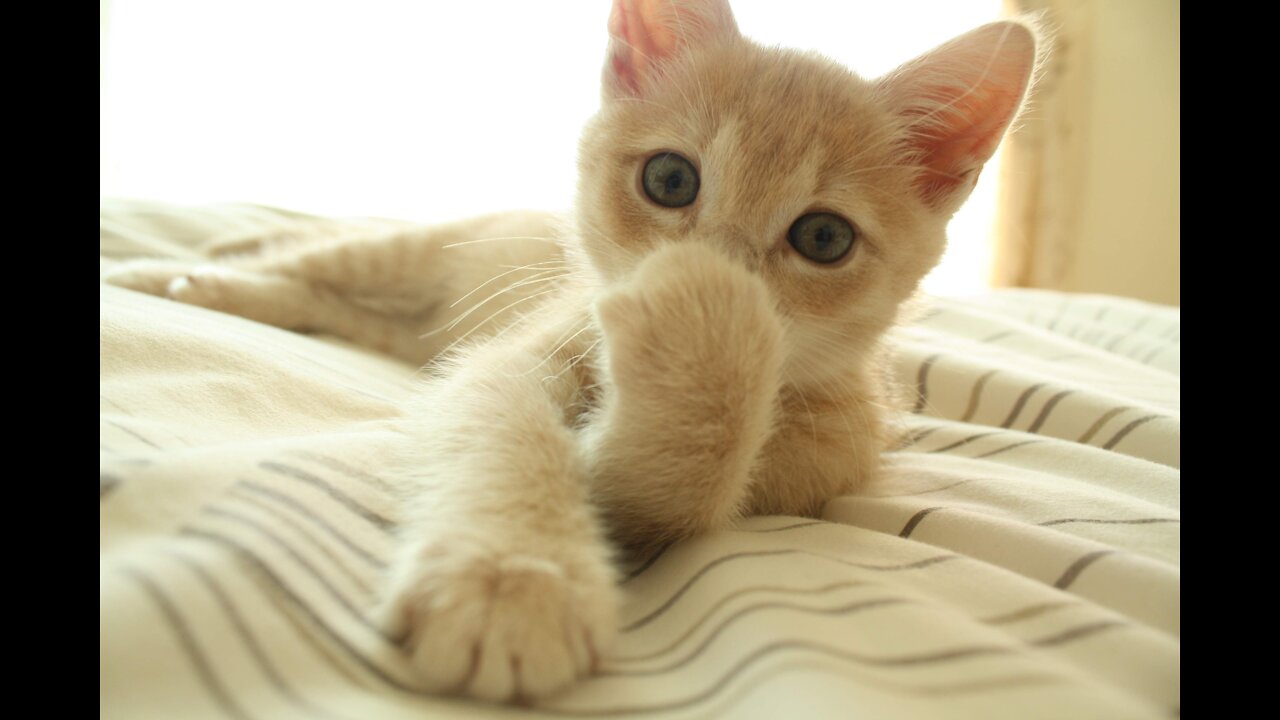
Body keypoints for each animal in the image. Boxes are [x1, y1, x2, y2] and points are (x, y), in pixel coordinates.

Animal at [102, 0, 1039, 702]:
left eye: (823, 237)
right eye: (671, 180)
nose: (714, 265)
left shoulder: (806, 467)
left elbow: (666, 492)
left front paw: (700, 342)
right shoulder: (515, 356)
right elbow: (507, 434)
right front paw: (514, 579)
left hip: (410, 326)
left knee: (332, 302)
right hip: (413, 255)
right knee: (307, 258)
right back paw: (186, 273)